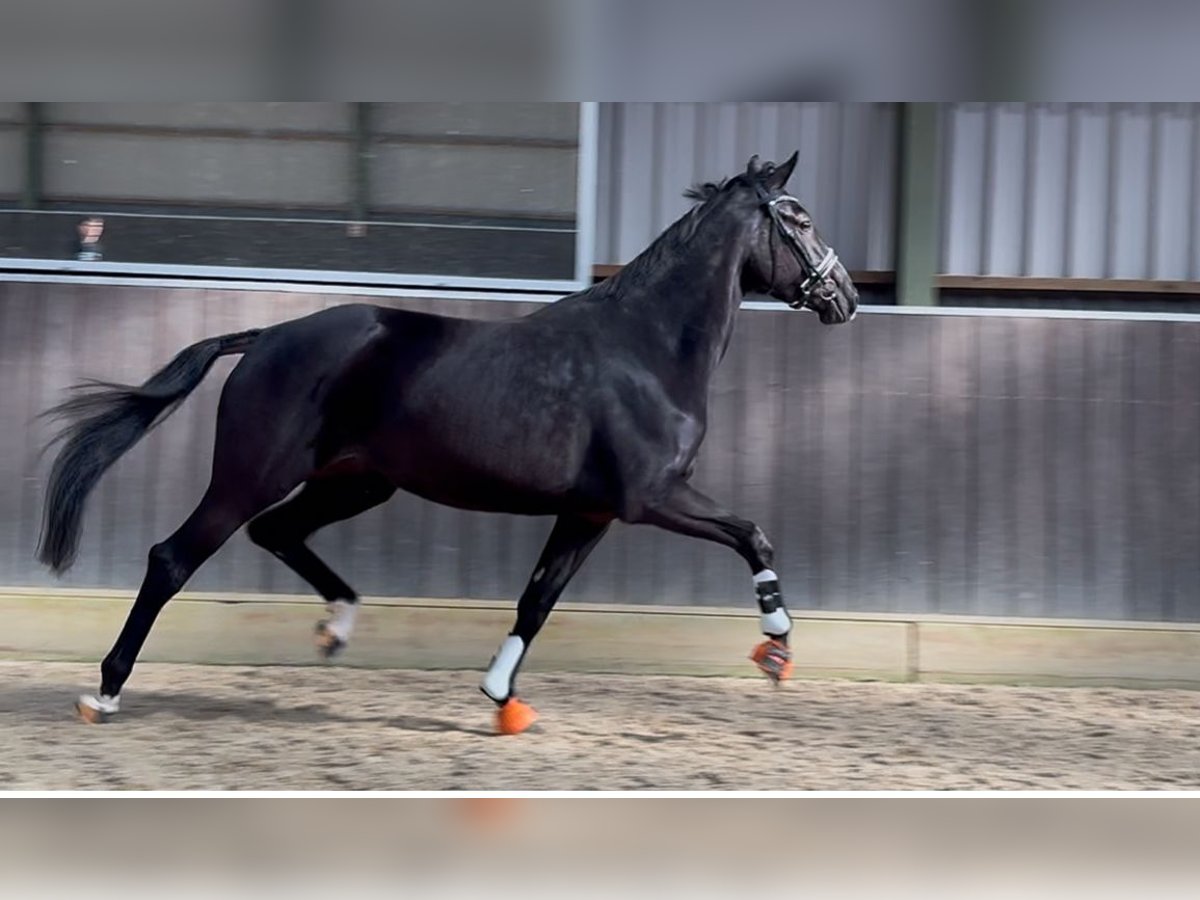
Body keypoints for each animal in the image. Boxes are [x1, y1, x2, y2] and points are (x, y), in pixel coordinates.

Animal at [37, 152, 858, 735]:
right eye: (799, 218)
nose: (844, 296)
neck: (647, 348)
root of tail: (266, 336)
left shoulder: (588, 513)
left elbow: (537, 601)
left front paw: (503, 700)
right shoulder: (651, 497)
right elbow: (752, 534)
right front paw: (777, 650)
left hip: (355, 481)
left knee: (277, 533)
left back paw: (336, 628)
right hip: (250, 476)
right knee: (172, 558)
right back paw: (104, 693)